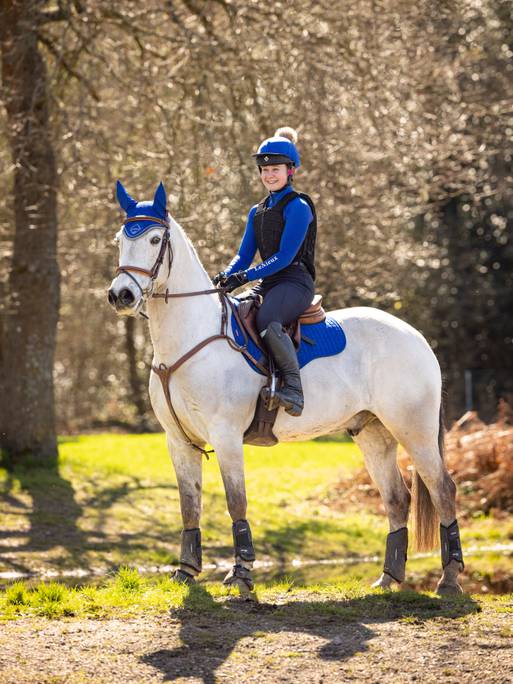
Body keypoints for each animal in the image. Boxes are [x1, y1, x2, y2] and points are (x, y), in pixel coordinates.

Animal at [108, 184, 464, 596]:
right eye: (120, 240)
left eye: (154, 239)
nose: (121, 295)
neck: (188, 339)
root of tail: (415, 336)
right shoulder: (178, 442)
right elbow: (189, 505)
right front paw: (186, 572)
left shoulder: (226, 436)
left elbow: (236, 503)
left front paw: (241, 573)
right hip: (372, 433)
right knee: (397, 498)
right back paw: (388, 578)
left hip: (413, 430)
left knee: (442, 489)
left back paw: (449, 579)